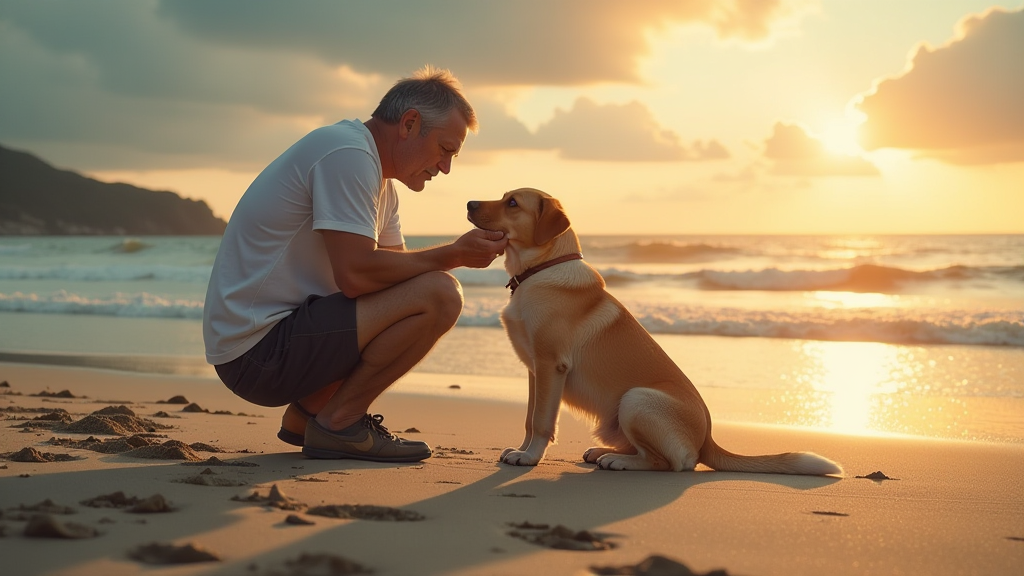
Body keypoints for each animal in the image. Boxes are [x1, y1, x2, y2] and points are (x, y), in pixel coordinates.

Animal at [468, 186, 843, 473]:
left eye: (513, 203)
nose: (470, 203)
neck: (540, 270)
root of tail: (708, 440)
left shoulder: (550, 365)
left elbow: (542, 421)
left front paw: (530, 457)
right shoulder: (535, 370)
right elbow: (530, 418)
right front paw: (521, 449)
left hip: (636, 399)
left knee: (672, 463)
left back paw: (619, 462)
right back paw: (606, 453)